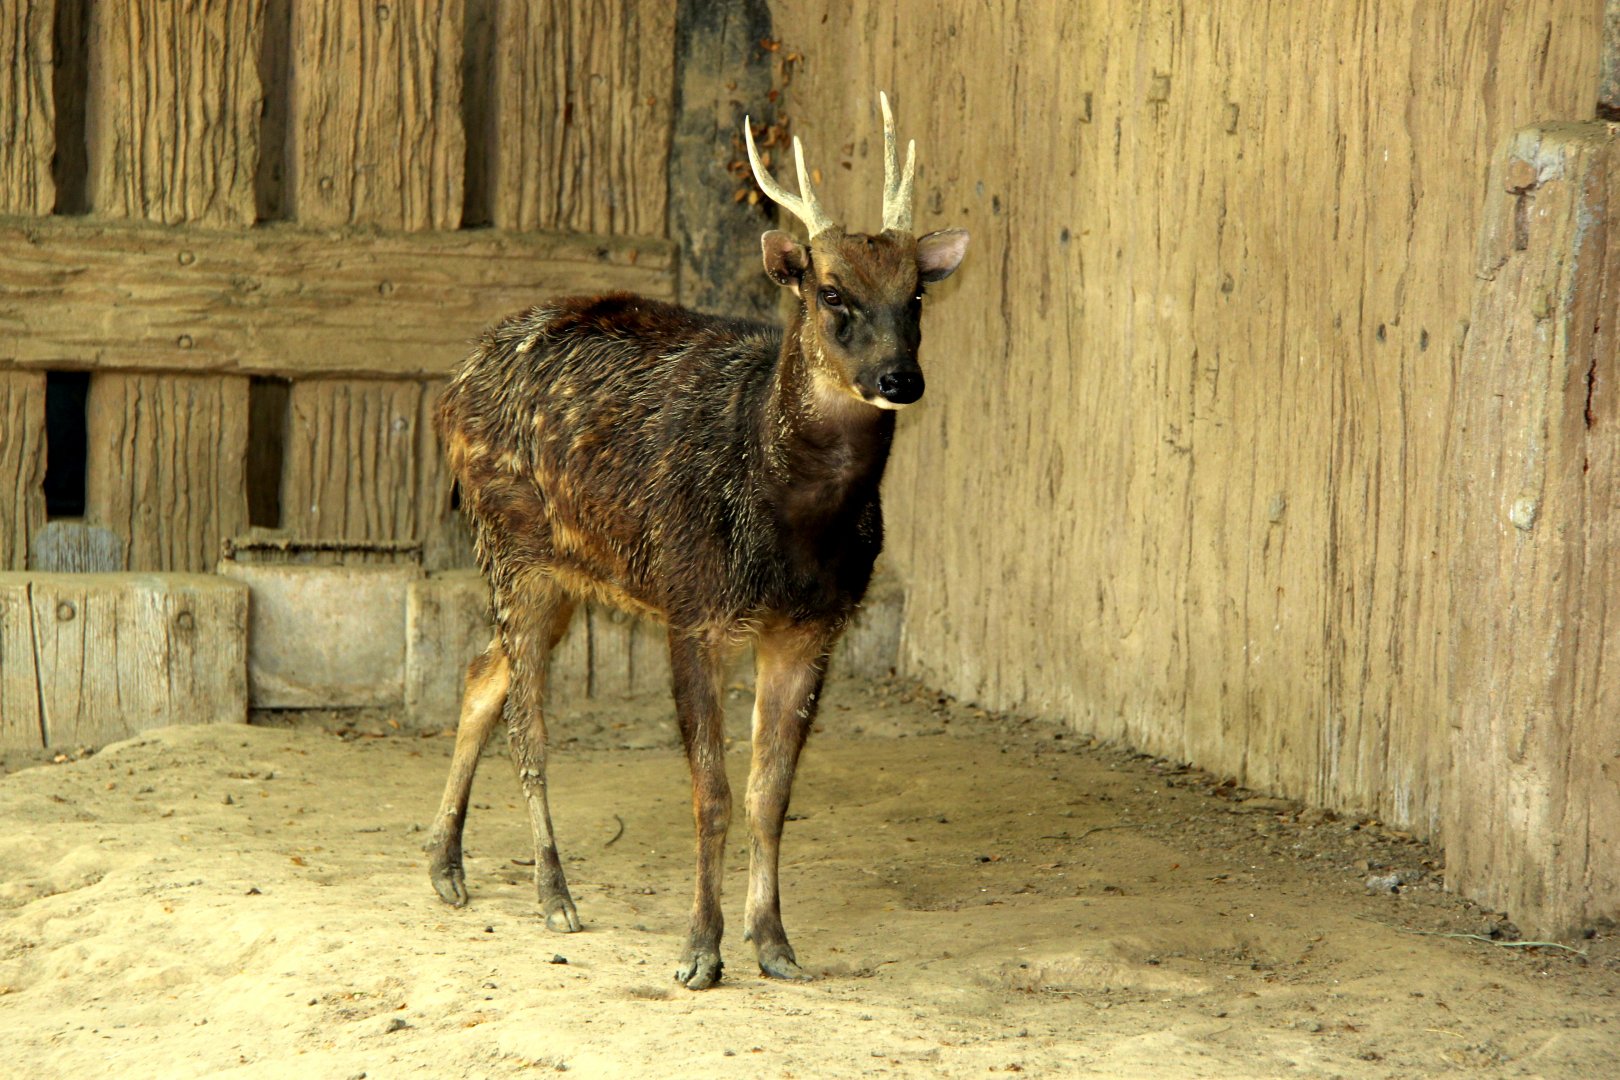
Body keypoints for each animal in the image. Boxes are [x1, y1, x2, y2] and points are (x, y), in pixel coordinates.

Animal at [423, 93, 968, 990]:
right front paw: (699, 951)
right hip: (509, 544)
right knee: (529, 727)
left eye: (917, 292)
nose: (901, 379)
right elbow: (710, 793)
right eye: (830, 291)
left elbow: (769, 795)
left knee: (477, 676)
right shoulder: (691, 607)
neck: (789, 523)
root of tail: (452, 385)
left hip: (565, 573)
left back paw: (445, 865)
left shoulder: (811, 627)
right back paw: (553, 892)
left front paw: (775, 943)